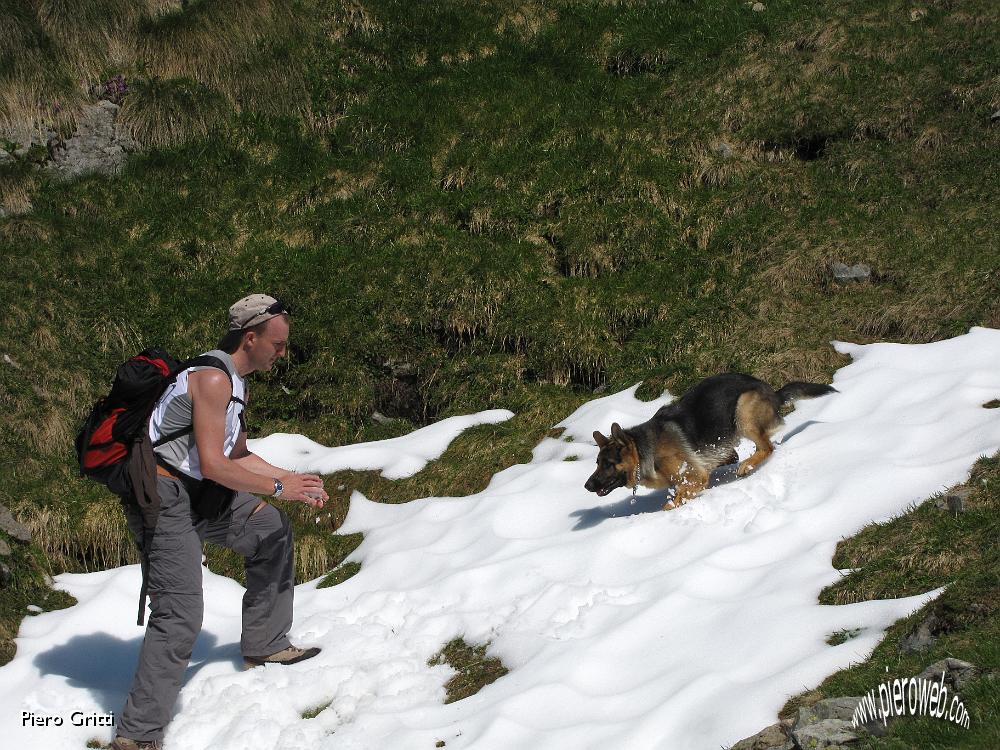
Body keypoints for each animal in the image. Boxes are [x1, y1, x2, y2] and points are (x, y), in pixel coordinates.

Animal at [584, 376, 836, 512]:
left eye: (608, 464)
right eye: (597, 463)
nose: (586, 486)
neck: (644, 449)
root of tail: (772, 392)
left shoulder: (696, 476)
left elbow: (676, 499)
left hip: (742, 411)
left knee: (767, 447)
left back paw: (747, 466)